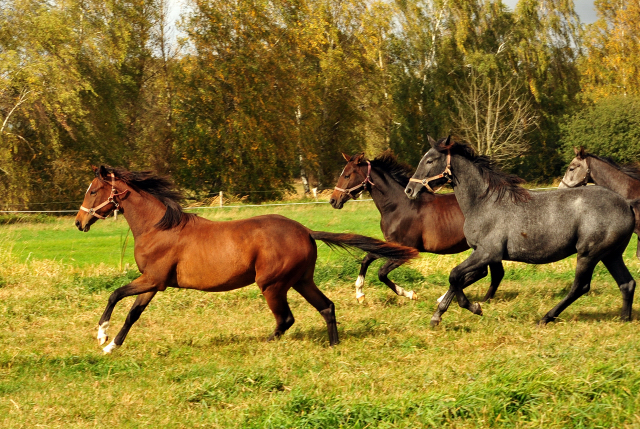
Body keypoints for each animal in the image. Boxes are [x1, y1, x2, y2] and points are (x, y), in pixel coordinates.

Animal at [75, 166, 418, 352]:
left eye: (92, 191)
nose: (79, 222)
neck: (159, 227)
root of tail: (306, 231)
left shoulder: (152, 279)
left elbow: (115, 294)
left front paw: (101, 334)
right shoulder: (153, 284)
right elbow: (133, 314)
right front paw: (111, 346)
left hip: (272, 284)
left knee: (286, 319)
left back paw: (265, 343)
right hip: (301, 280)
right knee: (326, 306)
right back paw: (333, 345)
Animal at [330, 150, 504, 304]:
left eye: (347, 175)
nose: (333, 200)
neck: (398, 206)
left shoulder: (408, 249)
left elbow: (381, 273)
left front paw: (410, 294)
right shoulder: (392, 246)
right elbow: (367, 259)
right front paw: (359, 294)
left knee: (483, 272)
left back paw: (445, 298)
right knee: (494, 273)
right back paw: (482, 299)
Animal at [404, 136, 636, 324]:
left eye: (430, 160)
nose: (409, 189)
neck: (484, 202)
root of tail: (627, 204)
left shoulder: (488, 253)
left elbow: (454, 275)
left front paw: (473, 308)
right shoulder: (481, 253)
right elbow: (461, 279)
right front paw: (439, 314)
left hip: (588, 254)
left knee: (581, 286)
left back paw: (546, 318)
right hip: (611, 255)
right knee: (627, 283)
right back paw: (624, 319)